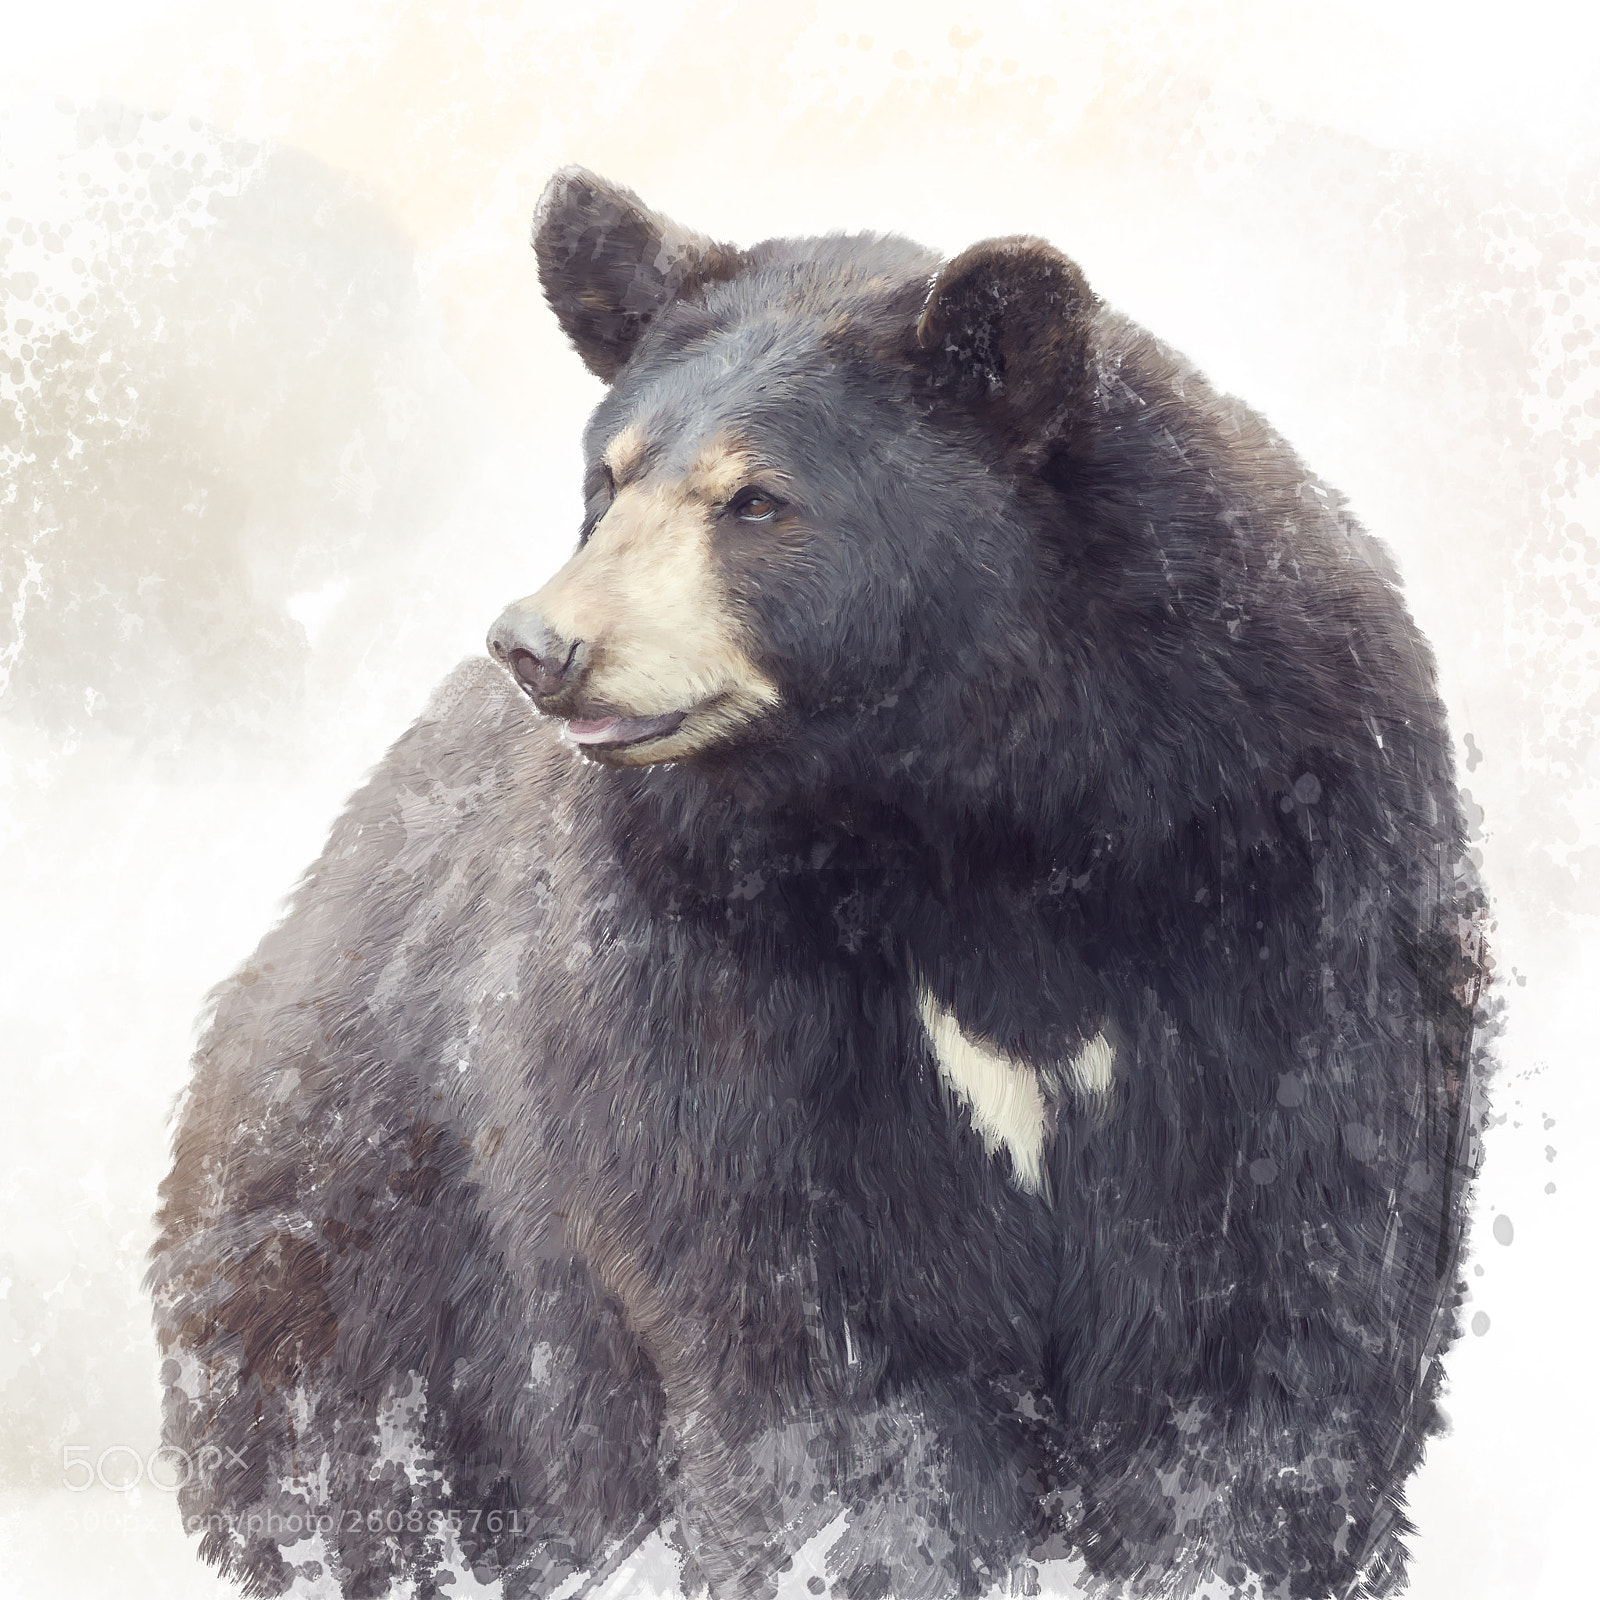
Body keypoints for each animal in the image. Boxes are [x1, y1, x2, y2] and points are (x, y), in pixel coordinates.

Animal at [149, 168, 1490, 1600]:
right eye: (608, 475)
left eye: (756, 500)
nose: (539, 644)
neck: (975, 809)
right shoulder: (711, 957)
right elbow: (812, 1344)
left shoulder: (1286, 891)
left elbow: (1273, 1309)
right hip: (357, 1293)